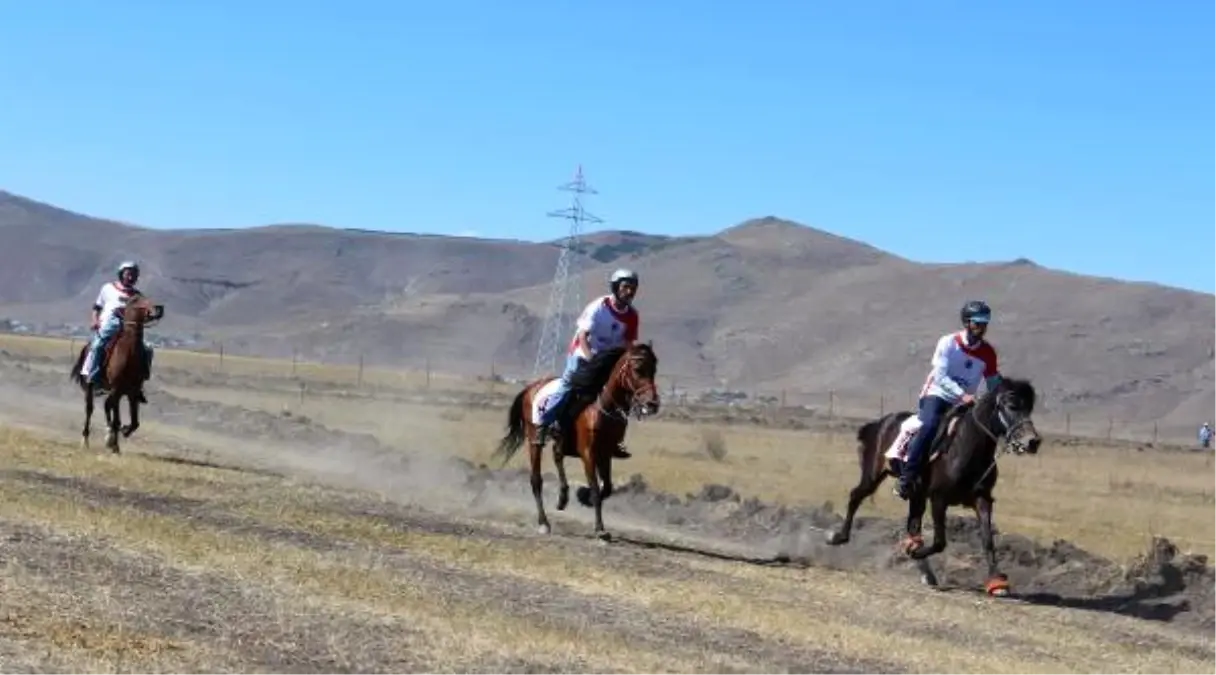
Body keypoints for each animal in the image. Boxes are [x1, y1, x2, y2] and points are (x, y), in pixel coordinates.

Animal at [69, 295, 162, 454]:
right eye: (138, 301)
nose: (158, 309)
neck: (129, 353)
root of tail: (87, 347)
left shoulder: (132, 392)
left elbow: (135, 422)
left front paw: (121, 433)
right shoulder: (117, 390)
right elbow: (117, 420)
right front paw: (115, 447)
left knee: (107, 406)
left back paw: (109, 435)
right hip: (91, 386)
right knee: (90, 409)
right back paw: (86, 440)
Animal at [496, 340, 666, 542]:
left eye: (654, 369)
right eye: (638, 369)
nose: (652, 404)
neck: (601, 409)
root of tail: (531, 388)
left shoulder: (605, 454)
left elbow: (607, 488)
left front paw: (583, 497)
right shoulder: (588, 454)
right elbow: (595, 488)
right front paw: (600, 529)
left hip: (560, 443)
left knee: (557, 457)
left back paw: (563, 498)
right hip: (534, 440)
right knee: (536, 479)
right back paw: (544, 523)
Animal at [822, 377, 1040, 600]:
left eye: (1029, 407)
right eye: (1012, 406)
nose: (1033, 441)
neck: (965, 447)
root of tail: (880, 423)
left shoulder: (982, 499)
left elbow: (988, 540)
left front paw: (997, 582)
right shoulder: (938, 499)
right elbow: (939, 542)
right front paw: (913, 551)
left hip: (915, 494)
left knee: (912, 525)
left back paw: (926, 572)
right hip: (873, 476)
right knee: (856, 496)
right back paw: (837, 537)